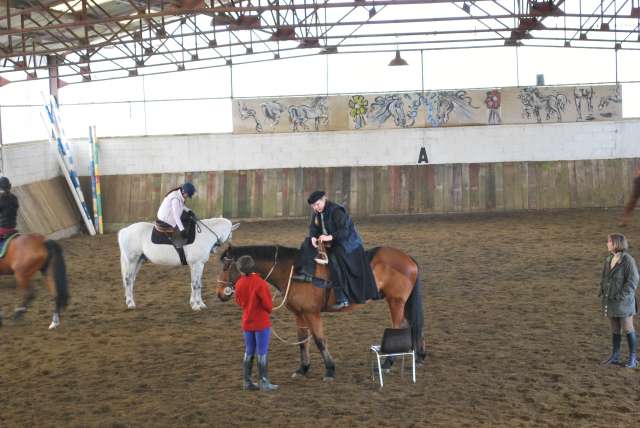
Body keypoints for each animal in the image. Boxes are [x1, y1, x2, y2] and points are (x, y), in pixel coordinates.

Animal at [216, 244, 424, 382]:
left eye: (226, 266)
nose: (220, 294)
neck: (294, 271)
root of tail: (408, 258)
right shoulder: (299, 314)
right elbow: (303, 341)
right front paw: (303, 368)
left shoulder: (311, 313)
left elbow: (319, 340)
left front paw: (330, 370)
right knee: (412, 326)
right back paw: (416, 356)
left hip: (396, 302)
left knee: (398, 327)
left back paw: (388, 363)